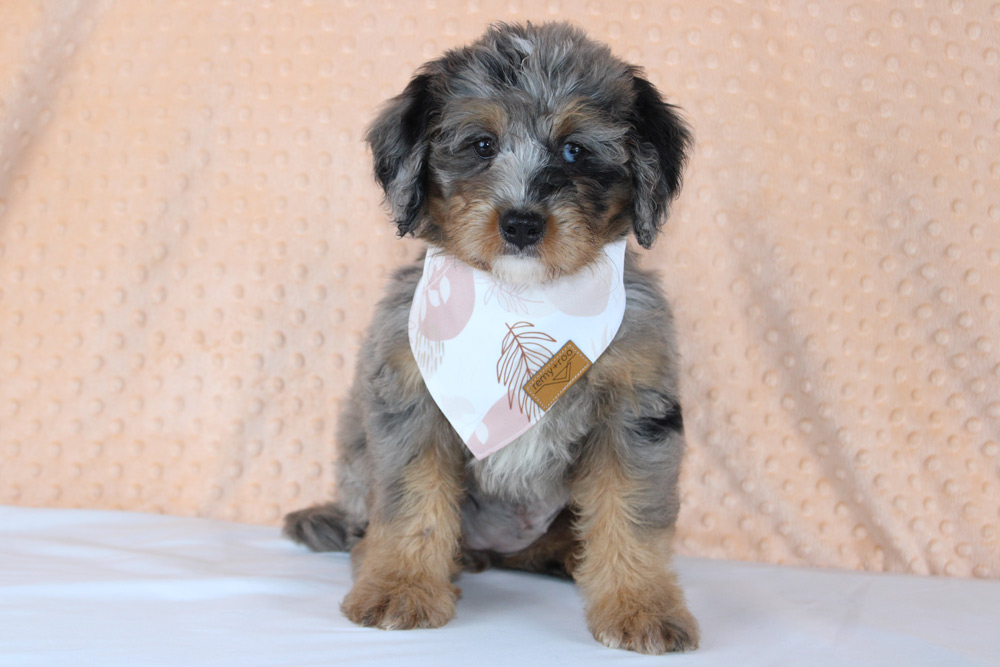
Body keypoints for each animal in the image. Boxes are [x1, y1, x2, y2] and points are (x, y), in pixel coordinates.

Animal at [284, 22, 697, 654]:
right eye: (480, 144)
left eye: (575, 150)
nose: (522, 223)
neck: (520, 299)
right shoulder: (411, 400)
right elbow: (412, 503)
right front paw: (400, 587)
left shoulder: (635, 408)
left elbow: (631, 512)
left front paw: (641, 606)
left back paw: (564, 556)